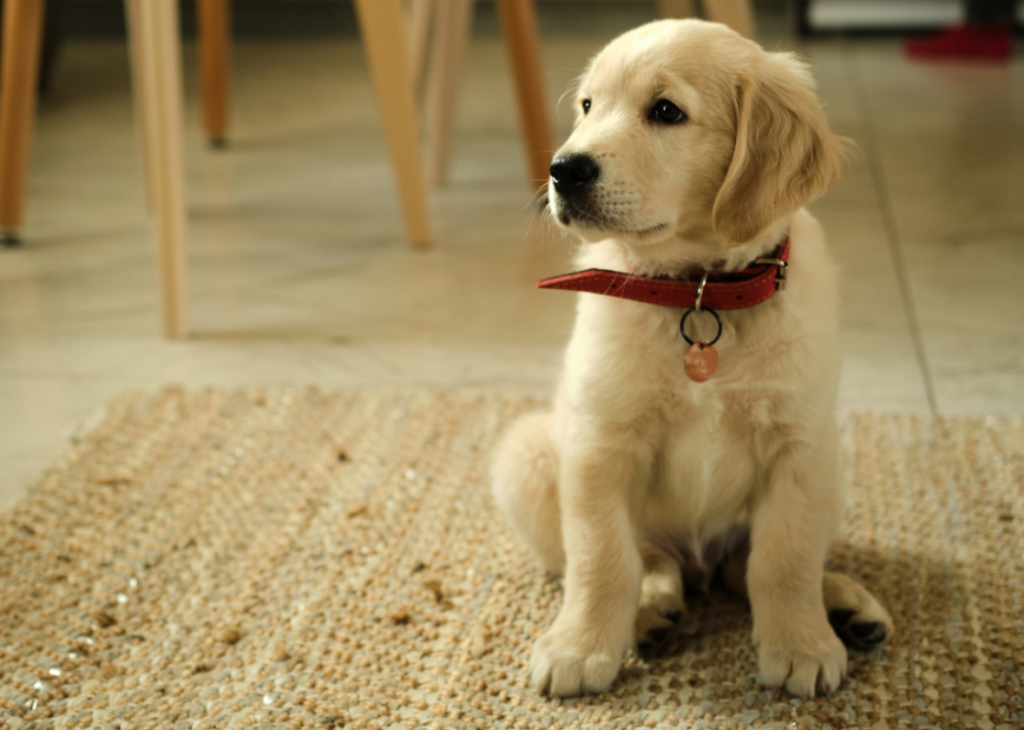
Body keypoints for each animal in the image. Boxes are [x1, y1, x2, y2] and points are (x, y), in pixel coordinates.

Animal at [491, 19, 892, 696]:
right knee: (651, 559)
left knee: (743, 563)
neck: (699, 290)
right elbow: (602, 558)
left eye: (666, 111)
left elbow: (785, 558)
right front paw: (581, 647)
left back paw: (844, 604)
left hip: (834, 464)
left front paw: (801, 643)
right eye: (588, 106)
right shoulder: (601, 444)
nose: (561, 169)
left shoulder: (800, 445)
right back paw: (652, 610)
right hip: (527, 455)